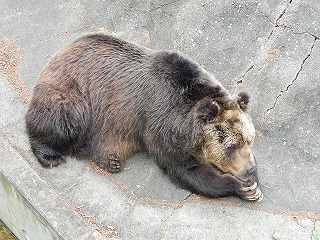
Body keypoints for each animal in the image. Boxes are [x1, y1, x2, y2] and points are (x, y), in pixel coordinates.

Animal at [25, 33, 262, 202]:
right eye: (230, 146)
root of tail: (64, 48)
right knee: (63, 121)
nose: (250, 168)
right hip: (75, 94)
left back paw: (112, 162)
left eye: (249, 140)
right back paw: (50, 156)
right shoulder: (159, 123)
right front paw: (241, 187)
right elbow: (185, 169)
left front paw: (253, 184)